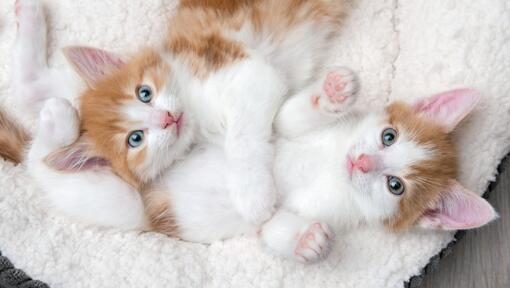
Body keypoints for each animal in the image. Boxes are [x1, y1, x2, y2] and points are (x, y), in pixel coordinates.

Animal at [5, 0, 496, 264]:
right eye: (388, 136)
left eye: (396, 185)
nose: (361, 162)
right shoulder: (253, 83)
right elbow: (274, 123)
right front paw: (333, 93)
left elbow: (271, 221)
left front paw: (306, 240)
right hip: (105, 194)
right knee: (36, 136)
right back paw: (52, 103)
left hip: (109, 196)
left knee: (34, 113)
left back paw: (52, 110)